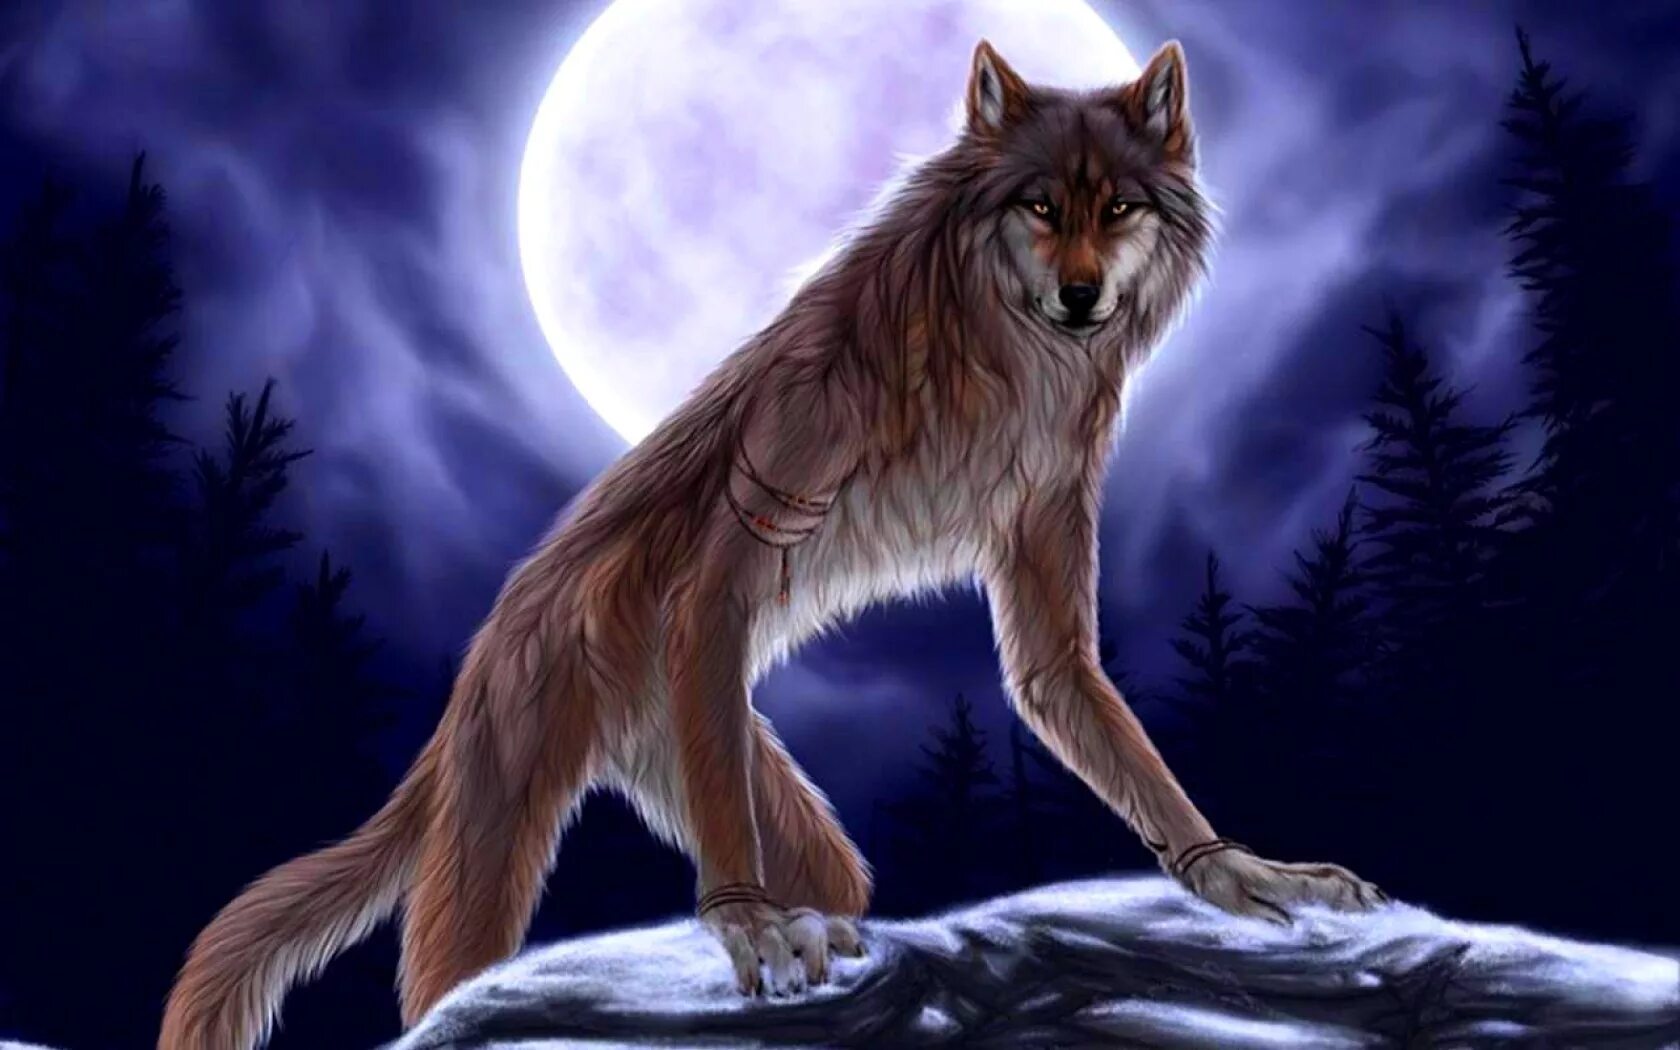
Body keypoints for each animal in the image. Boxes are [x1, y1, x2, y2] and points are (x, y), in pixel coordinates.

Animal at [158, 38, 1384, 1050]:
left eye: (1120, 207)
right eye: (1041, 205)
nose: (1082, 296)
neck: (1002, 366)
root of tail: (486, 644)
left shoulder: (1048, 542)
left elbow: (1077, 701)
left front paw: (1240, 869)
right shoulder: (748, 527)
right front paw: (746, 923)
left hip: (752, 788)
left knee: (830, 875)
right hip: (525, 825)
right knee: (444, 983)